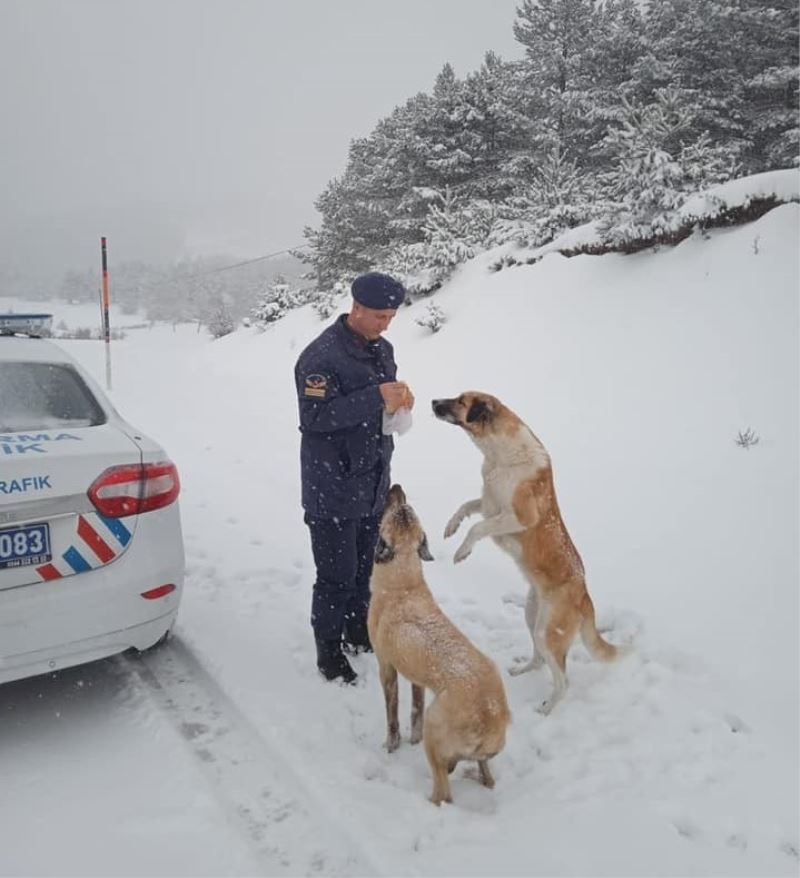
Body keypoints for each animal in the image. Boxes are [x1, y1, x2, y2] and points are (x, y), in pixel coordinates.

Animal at [368, 484, 512, 808]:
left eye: (397, 509)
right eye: (406, 509)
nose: (395, 486)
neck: (404, 582)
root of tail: (489, 718)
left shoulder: (386, 666)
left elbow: (392, 716)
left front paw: (391, 745)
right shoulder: (418, 680)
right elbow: (415, 710)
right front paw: (411, 738)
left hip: (436, 730)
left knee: (443, 792)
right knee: (485, 774)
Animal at [434, 392, 628, 716]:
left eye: (461, 401)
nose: (433, 402)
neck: (499, 455)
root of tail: (585, 596)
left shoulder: (517, 517)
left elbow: (477, 527)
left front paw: (462, 551)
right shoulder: (489, 503)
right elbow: (466, 507)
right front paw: (451, 526)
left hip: (548, 632)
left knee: (563, 680)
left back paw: (547, 709)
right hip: (531, 615)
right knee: (539, 660)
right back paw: (521, 670)